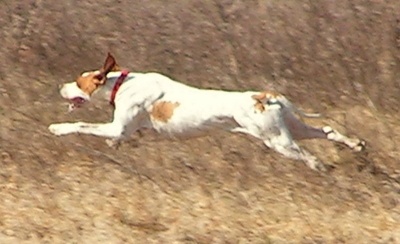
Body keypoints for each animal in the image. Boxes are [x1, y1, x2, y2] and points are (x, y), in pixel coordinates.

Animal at [48, 53, 364, 172]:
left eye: (78, 82)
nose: (60, 86)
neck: (121, 83)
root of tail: (264, 96)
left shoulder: (116, 125)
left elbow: (80, 124)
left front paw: (57, 128)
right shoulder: (127, 131)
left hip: (279, 141)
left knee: (309, 155)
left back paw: (321, 167)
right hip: (292, 128)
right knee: (327, 131)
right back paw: (355, 144)